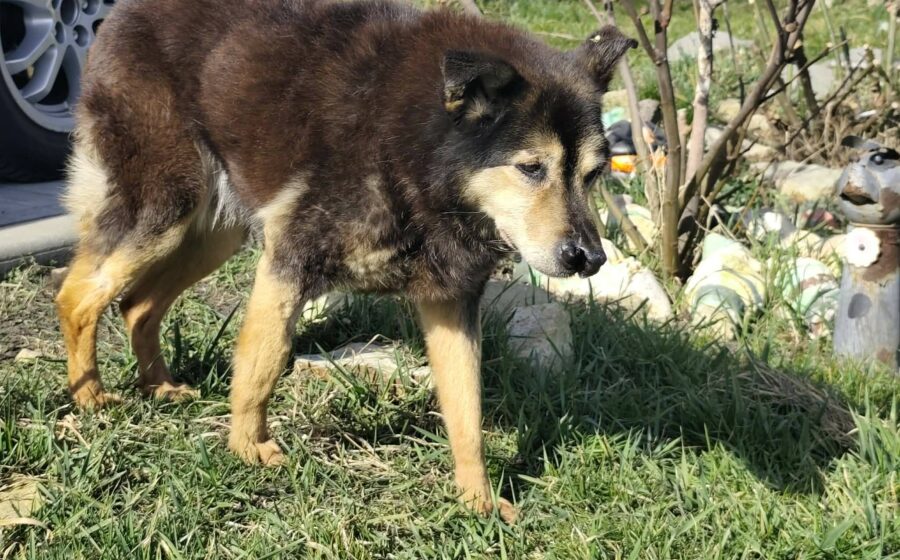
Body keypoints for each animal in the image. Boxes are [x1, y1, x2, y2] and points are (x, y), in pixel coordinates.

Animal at [56, 0, 635, 522]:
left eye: (593, 174)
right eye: (531, 168)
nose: (589, 259)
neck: (418, 150)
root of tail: (126, 11)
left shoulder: (450, 304)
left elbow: (466, 408)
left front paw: (479, 500)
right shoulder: (288, 262)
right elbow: (263, 364)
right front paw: (247, 449)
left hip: (213, 230)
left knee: (137, 305)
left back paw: (158, 385)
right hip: (163, 205)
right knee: (77, 297)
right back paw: (91, 399)